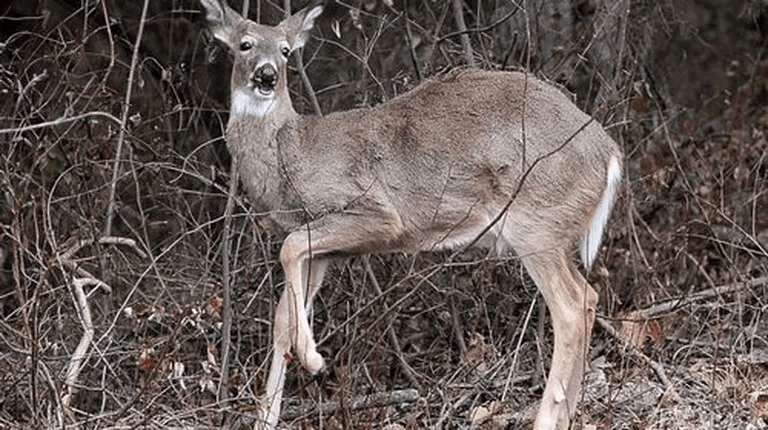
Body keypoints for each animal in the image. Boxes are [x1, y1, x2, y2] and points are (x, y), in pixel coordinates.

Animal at [200, 1, 624, 428]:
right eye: (245, 44)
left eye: (286, 51)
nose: (267, 75)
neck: (291, 154)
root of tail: (609, 153)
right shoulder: (322, 252)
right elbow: (283, 321)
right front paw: (266, 416)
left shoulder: (375, 213)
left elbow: (287, 249)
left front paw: (315, 359)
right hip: (554, 230)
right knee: (589, 297)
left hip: (536, 222)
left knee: (569, 307)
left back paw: (546, 416)